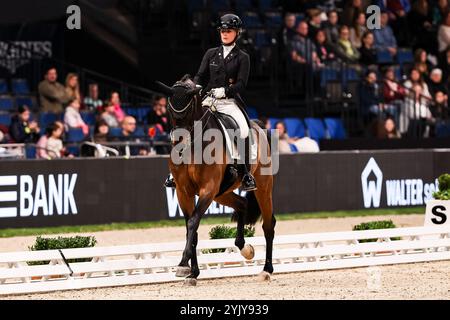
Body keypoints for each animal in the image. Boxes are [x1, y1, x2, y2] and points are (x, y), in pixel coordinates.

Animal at [155, 76, 274, 286]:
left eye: (188, 110)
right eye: (169, 110)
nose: (178, 145)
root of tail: (258, 126)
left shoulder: (207, 189)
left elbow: (193, 223)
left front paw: (183, 265)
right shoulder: (183, 192)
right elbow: (191, 229)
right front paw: (192, 273)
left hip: (262, 188)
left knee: (268, 225)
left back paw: (266, 270)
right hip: (222, 193)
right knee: (242, 204)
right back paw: (245, 249)